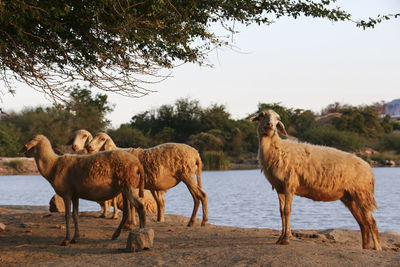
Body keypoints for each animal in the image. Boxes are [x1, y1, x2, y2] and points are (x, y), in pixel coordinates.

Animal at [19, 135, 147, 246]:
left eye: (31, 144)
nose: (24, 152)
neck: (52, 165)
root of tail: (137, 162)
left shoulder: (66, 193)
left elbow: (67, 215)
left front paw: (66, 240)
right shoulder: (75, 194)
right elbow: (75, 215)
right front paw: (75, 238)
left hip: (128, 186)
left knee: (140, 206)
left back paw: (142, 233)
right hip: (125, 187)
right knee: (127, 212)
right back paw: (116, 234)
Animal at [250, 109, 382, 251]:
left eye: (277, 118)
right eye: (262, 115)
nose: (270, 125)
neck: (278, 148)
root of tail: (369, 169)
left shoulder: (290, 183)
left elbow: (287, 210)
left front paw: (286, 238)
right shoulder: (279, 187)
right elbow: (281, 212)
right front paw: (280, 238)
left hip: (362, 193)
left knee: (371, 222)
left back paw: (377, 248)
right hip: (349, 196)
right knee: (363, 224)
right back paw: (365, 248)